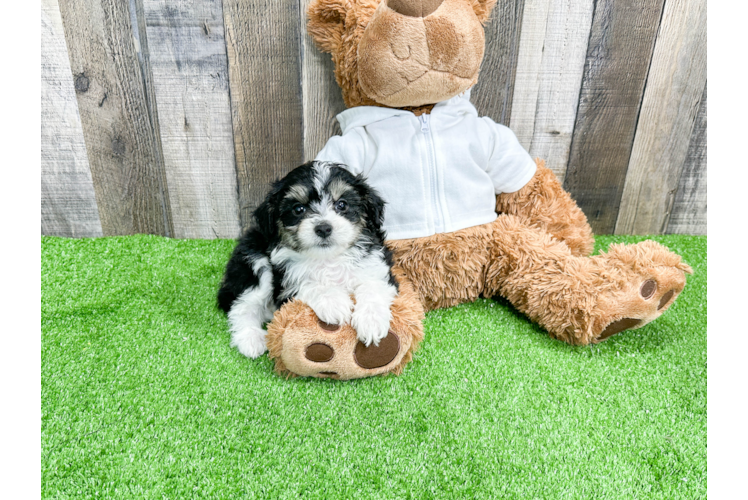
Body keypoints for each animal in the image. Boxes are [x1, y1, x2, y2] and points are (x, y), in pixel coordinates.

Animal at [216, 162, 398, 358]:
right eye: (298, 209)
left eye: (342, 204)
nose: (323, 228)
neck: (328, 258)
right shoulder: (284, 282)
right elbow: (305, 282)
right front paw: (334, 302)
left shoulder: (376, 265)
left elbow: (373, 286)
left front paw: (372, 321)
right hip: (254, 259)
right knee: (242, 306)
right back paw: (250, 338)